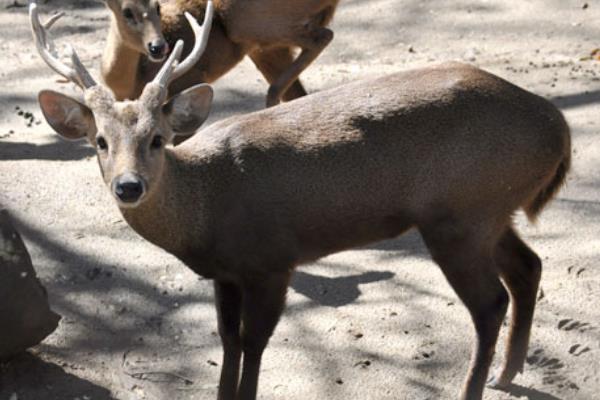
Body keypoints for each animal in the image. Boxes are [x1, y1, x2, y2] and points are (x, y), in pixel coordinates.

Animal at [101, 0, 340, 106]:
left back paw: (269, 100)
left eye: (157, 6)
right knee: (297, 92)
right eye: (126, 12)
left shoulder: (190, 80)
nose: (159, 47)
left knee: (323, 36)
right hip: (263, 47)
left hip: (249, 23)